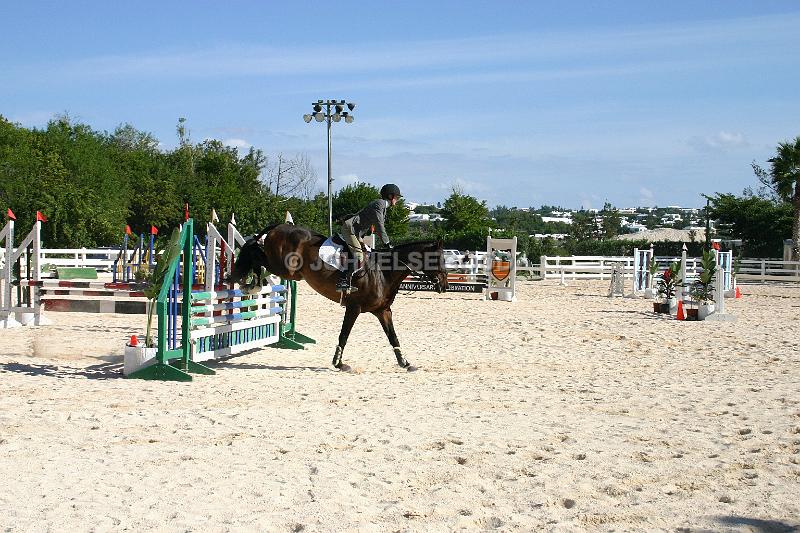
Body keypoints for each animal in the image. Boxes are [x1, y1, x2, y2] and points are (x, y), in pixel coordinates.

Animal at [228, 222, 450, 372]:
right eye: (437, 259)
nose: (445, 286)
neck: (383, 272)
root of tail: (279, 226)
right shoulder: (354, 308)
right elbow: (344, 335)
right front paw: (338, 363)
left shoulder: (383, 311)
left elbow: (392, 336)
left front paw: (405, 362)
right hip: (285, 268)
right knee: (255, 252)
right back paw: (251, 283)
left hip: (292, 273)